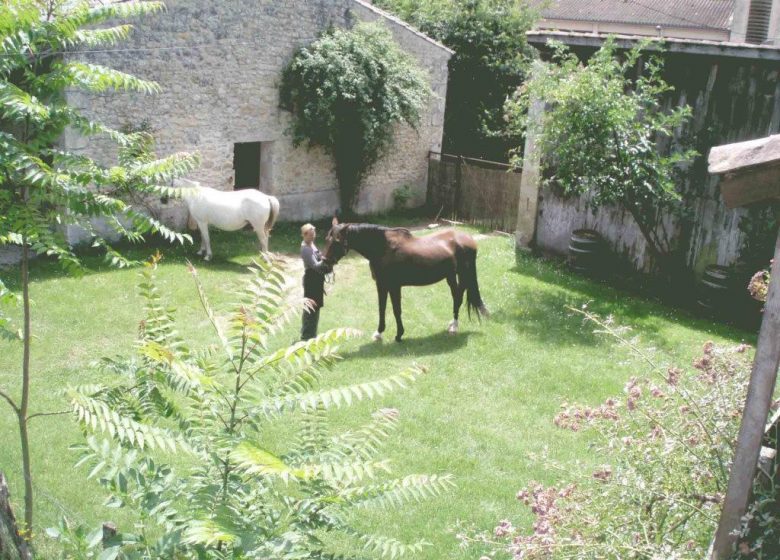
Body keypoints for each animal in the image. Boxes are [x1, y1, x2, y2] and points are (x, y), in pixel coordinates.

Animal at [320, 219, 484, 342]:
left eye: (336, 241)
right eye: (326, 239)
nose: (324, 265)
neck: (383, 247)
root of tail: (469, 239)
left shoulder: (394, 286)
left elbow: (396, 310)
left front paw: (399, 335)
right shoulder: (381, 285)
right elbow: (382, 308)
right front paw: (379, 333)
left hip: (463, 275)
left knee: (459, 297)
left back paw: (454, 327)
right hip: (450, 276)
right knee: (456, 296)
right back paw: (452, 324)